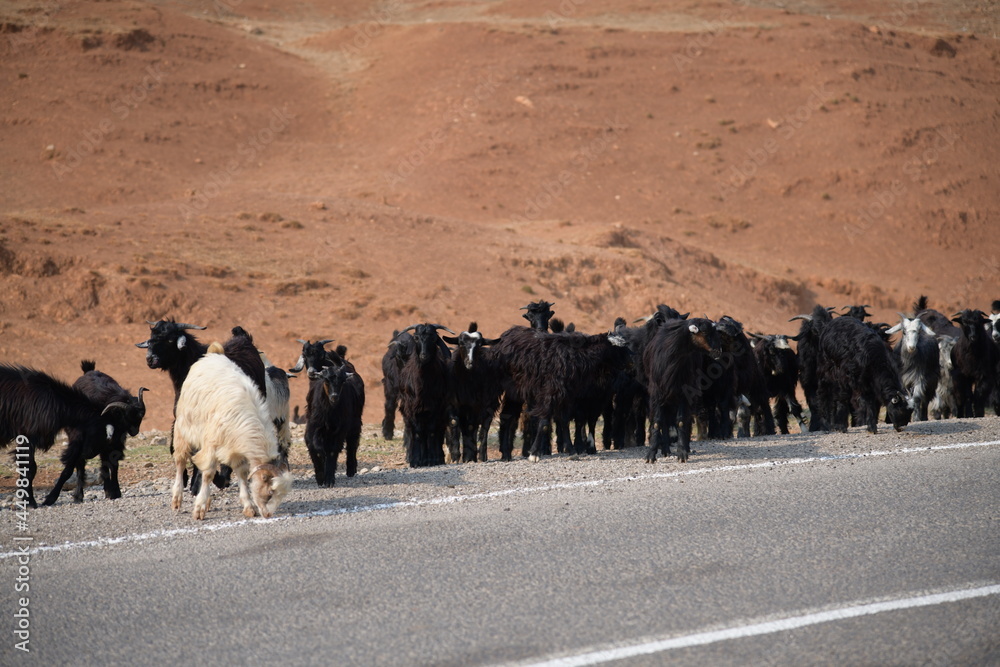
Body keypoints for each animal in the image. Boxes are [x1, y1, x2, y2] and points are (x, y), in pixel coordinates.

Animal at [43, 362, 146, 504]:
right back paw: (79, 495)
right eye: (126, 417)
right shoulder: (77, 442)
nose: (135, 432)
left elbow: (112, 465)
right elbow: (69, 469)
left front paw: (114, 492)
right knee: (82, 466)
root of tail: (89, 371)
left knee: (104, 464)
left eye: (140, 417)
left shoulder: (113, 443)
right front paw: (51, 498)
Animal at [396, 324, 456, 470]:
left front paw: (433, 459)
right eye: (416, 338)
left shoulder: (435, 408)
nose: (424, 355)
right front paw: (416, 460)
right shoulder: (412, 408)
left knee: (437, 432)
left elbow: (432, 431)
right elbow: (418, 433)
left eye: (433, 338)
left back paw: (437, 457)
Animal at [442, 324, 500, 464]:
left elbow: (475, 427)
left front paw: (473, 457)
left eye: (479, 345)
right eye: (461, 343)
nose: (470, 363)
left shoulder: (479, 406)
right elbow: (454, 423)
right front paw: (455, 457)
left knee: (480, 426)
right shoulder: (452, 403)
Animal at [644, 318, 724, 464]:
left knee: (686, 418)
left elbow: (681, 420)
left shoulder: (683, 392)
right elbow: (657, 422)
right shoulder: (657, 392)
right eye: (705, 332)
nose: (718, 352)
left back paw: (685, 447)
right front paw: (651, 455)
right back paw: (665, 450)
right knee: (665, 420)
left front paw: (682, 453)